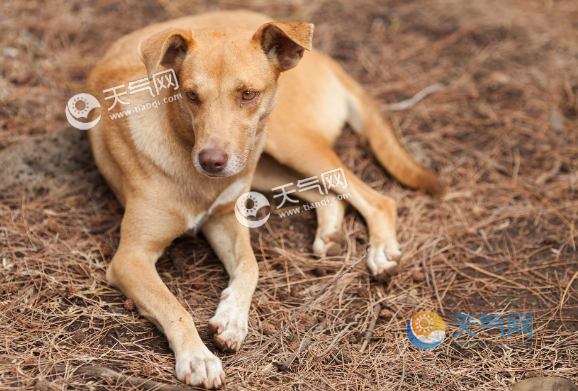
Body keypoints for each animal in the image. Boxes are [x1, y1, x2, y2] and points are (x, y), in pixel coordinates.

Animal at [85, 9, 438, 388]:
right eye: (191, 95)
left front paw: (232, 318)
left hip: (285, 140)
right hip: (266, 158)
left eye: (248, 94)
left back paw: (382, 251)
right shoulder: (131, 257)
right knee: (329, 193)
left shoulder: (225, 219)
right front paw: (198, 356)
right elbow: (173, 304)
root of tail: (325, 57)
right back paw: (330, 234)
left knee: (376, 198)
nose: (211, 161)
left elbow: (250, 266)